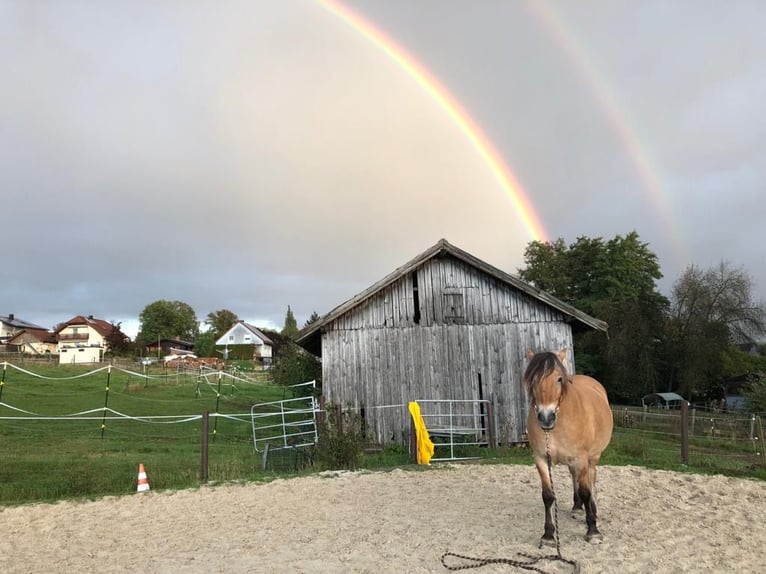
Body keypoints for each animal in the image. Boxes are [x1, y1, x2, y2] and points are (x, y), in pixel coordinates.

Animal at [524, 349, 613, 545]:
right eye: (533, 379)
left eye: (559, 379)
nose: (546, 417)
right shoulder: (541, 458)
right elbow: (548, 495)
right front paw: (548, 535)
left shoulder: (581, 459)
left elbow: (586, 491)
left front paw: (593, 531)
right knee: (574, 477)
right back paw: (577, 507)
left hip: (592, 458)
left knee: (591, 480)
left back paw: (592, 510)